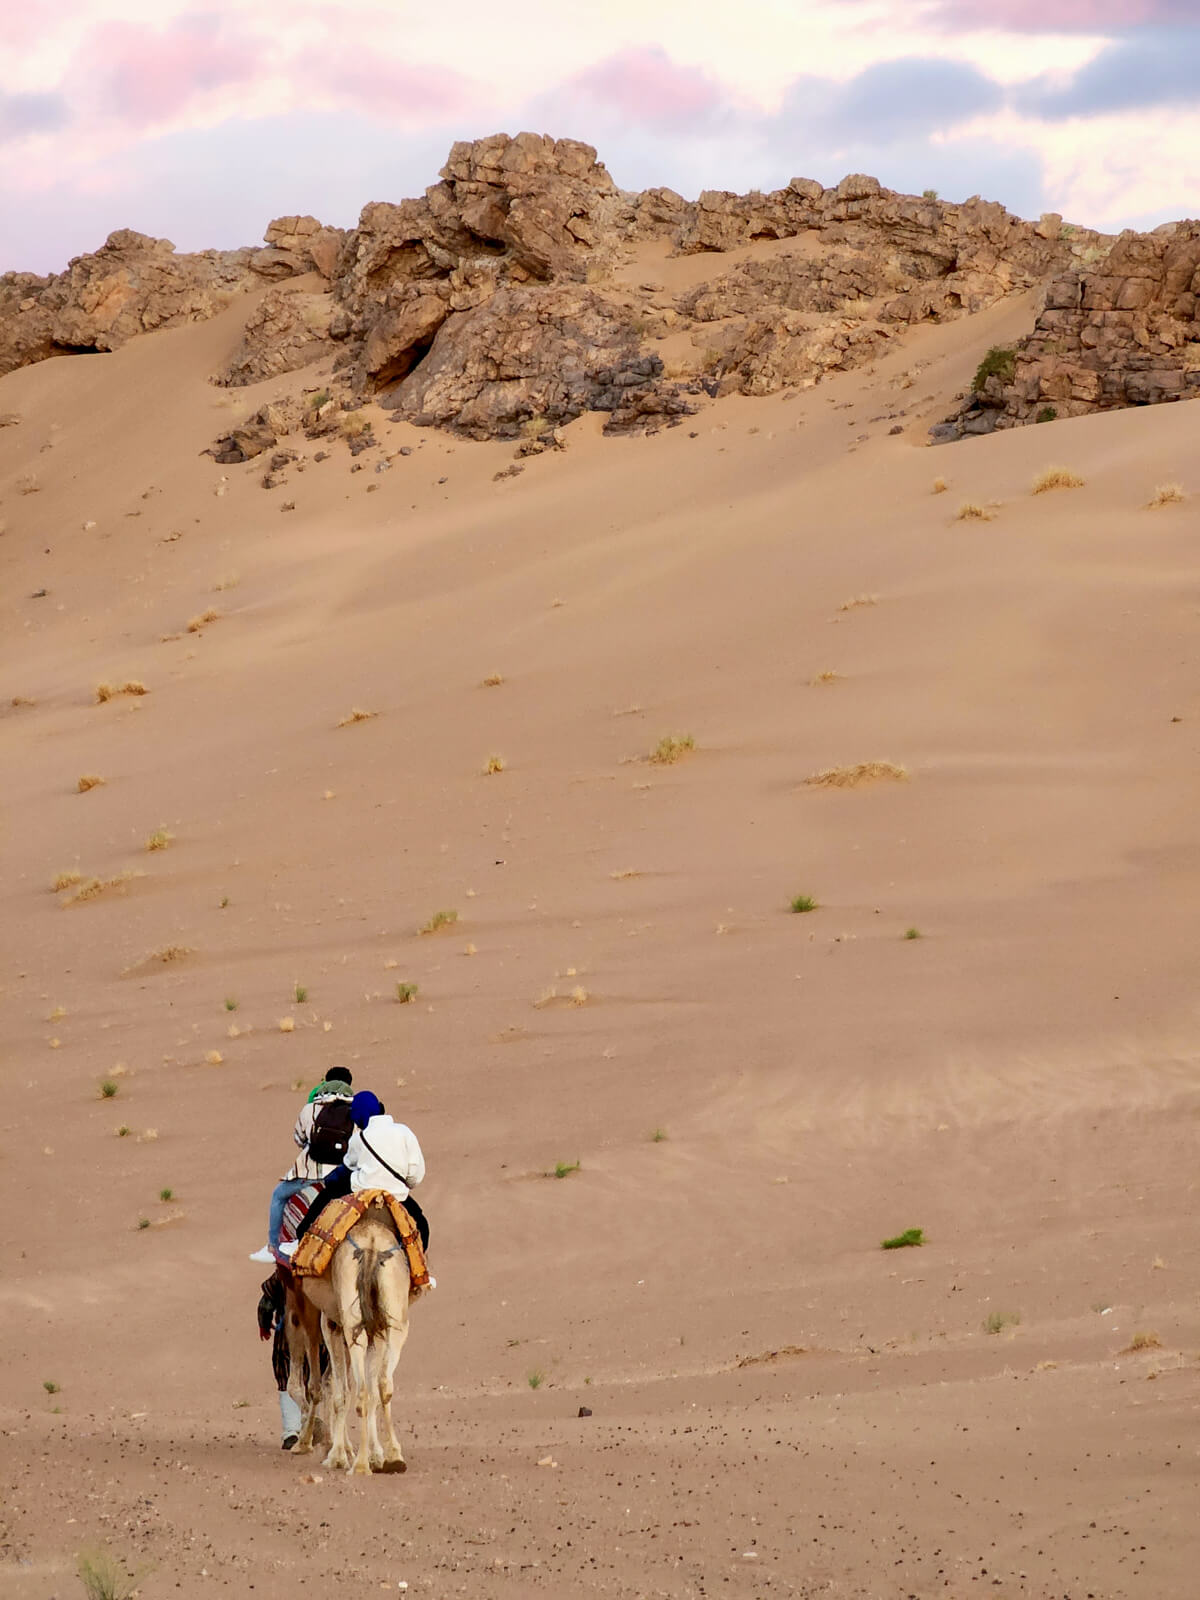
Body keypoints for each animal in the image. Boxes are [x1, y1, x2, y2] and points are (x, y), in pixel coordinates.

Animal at [284, 1203, 416, 1472]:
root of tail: (372, 1246)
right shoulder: (374, 1328)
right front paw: (373, 1454)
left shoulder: (328, 1323)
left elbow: (329, 1387)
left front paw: (332, 1452)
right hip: (394, 1323)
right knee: (382, 1385)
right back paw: (393, 1457)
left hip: (349, 1323)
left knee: (354, 1388)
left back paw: (359, 1464)